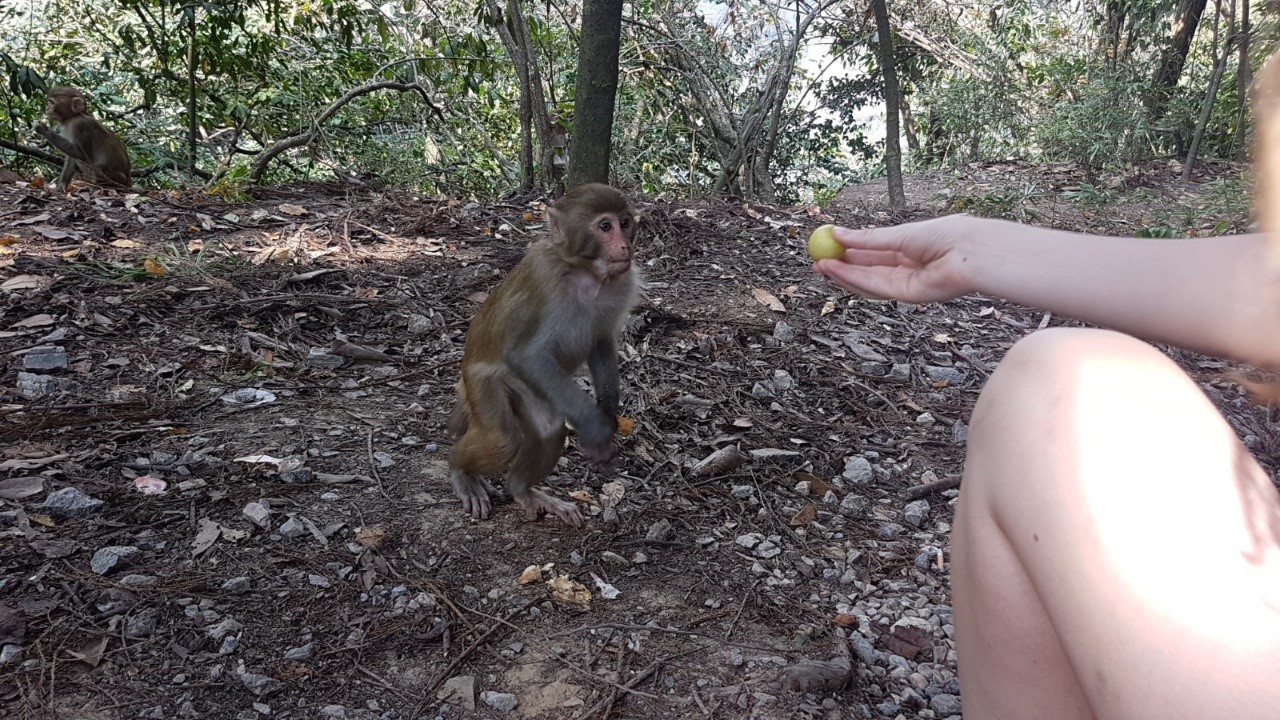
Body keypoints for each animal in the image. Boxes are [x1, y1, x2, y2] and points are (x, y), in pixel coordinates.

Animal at [446, 183, 641, 525]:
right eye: (605, 227)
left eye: (625, 222)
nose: (624, 245)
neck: (587, 274)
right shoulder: (545, 277)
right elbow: (527, 356)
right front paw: (595, 427)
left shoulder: (621, 283)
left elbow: (601, 342)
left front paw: (607, 411)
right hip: (480, 385)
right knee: (503, 440)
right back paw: (461, 471)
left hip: (533, 392)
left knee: (549, 428)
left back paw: (522, 490)